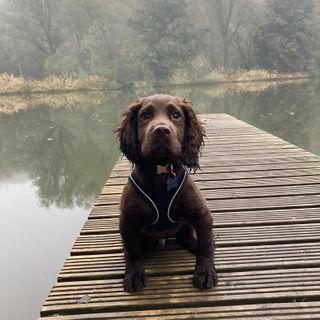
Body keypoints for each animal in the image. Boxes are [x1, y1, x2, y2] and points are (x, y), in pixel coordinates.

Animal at [116, 93, 219, 292]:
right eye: (145, 115)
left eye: (176, 115)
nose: (161, 130)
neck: (161, 171)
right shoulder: (128, 218)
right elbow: (132, 250)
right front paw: (133, 274)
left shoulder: (201, 213)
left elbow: (206, 244)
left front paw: (205, 272)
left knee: (187, 234)